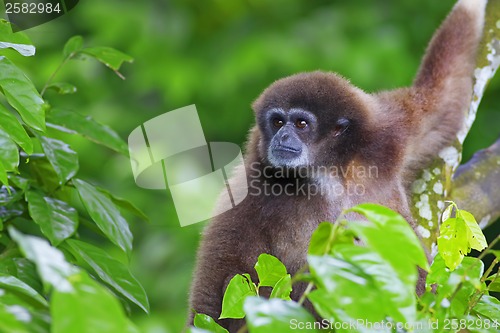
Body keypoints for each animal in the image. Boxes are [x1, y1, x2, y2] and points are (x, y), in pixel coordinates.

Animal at [188, 0, 484, 328]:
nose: (282, 136)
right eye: (277, 122)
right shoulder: (251, 186)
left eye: (300, 123)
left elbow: (441, 101)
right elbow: (222, 285)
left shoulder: (387, 135)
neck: (330, 172)